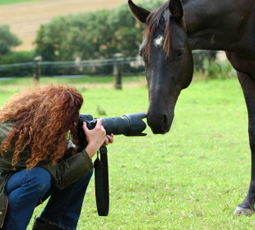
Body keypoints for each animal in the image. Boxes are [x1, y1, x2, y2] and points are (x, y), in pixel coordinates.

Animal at [128, 0, 255, 216]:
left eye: (179, 52)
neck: (245, 17)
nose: (156, 118)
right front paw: (248, 203)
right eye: (142, 54)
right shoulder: (245, 75)